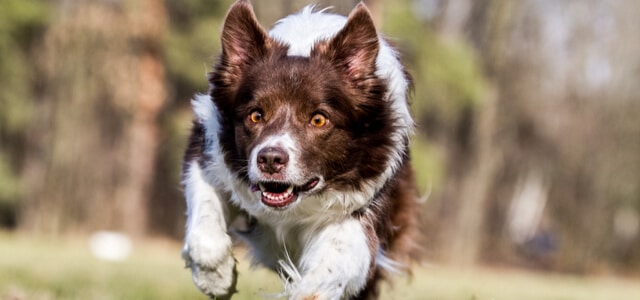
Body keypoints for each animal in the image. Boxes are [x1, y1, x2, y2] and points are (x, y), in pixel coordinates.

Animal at [181, 1, 420, 298]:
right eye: (255, 115)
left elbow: (329, 270)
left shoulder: (363, 205)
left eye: (318, 119)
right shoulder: (207, 150)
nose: (270, 159)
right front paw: (216, 278)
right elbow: (204, 229)